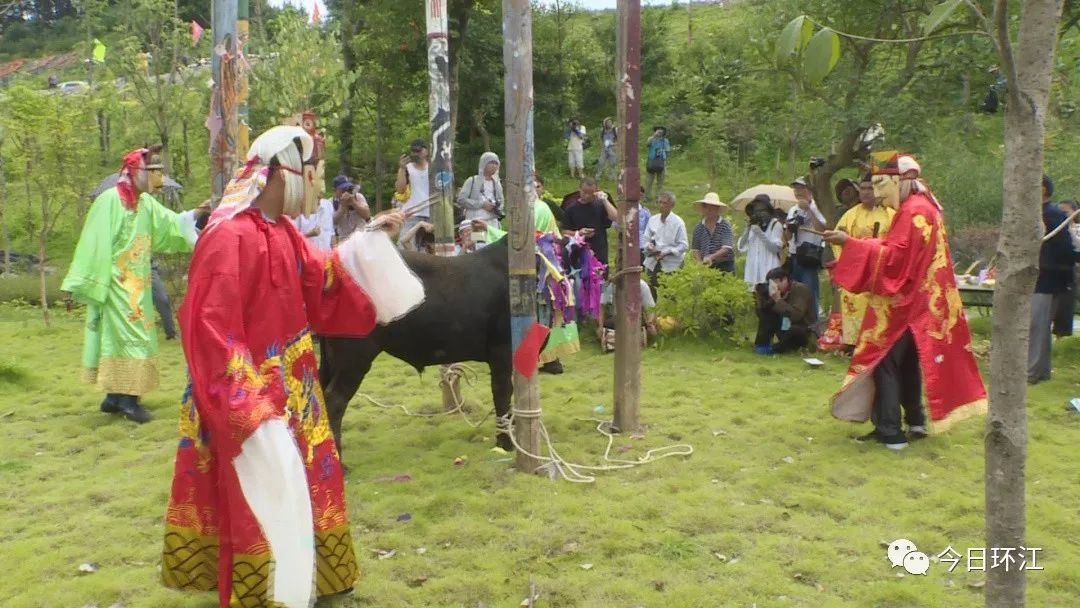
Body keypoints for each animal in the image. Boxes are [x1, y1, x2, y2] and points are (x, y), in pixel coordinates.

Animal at [317, 236, 511, 451]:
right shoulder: (502, 348)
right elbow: (503, 392)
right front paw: (506, 443)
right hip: (354, 358)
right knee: (334, 400)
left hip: (331, 360)